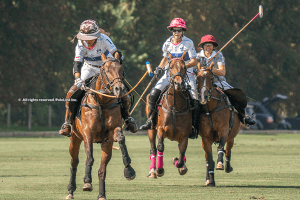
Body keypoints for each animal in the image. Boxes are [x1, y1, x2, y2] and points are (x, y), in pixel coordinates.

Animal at [67, 53, 136, 200]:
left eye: (122, 70)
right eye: (105, 70)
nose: (119, 89)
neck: (102, 101)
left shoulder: (112, 132)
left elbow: (120, 138)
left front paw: (129, 169)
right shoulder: (88, 133)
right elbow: (89, 157)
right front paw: (87, 182)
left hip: (106, 145)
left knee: (102, 169)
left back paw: (101, 195)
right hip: (75, 138)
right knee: (74, 162)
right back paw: (70, 191)